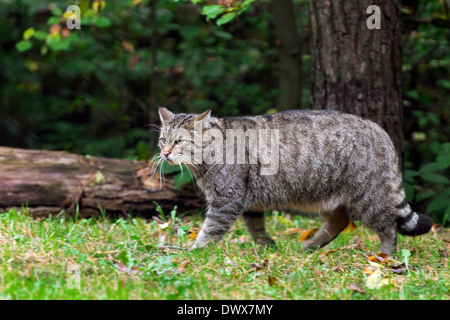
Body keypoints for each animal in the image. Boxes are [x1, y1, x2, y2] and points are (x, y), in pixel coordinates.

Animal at [156, 107, 432, 255]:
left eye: (178, 141)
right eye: (162, 140)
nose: (165, 153)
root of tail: (379, 129)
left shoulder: (226, 200)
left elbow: (210, 230)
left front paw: (194, 251)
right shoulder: (249, 203)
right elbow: (256, 229)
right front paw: (268, 247)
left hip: (369, 196)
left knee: (388, 227)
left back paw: (385, 256)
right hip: (325, 195)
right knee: (340, 221)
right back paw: (310, 246)